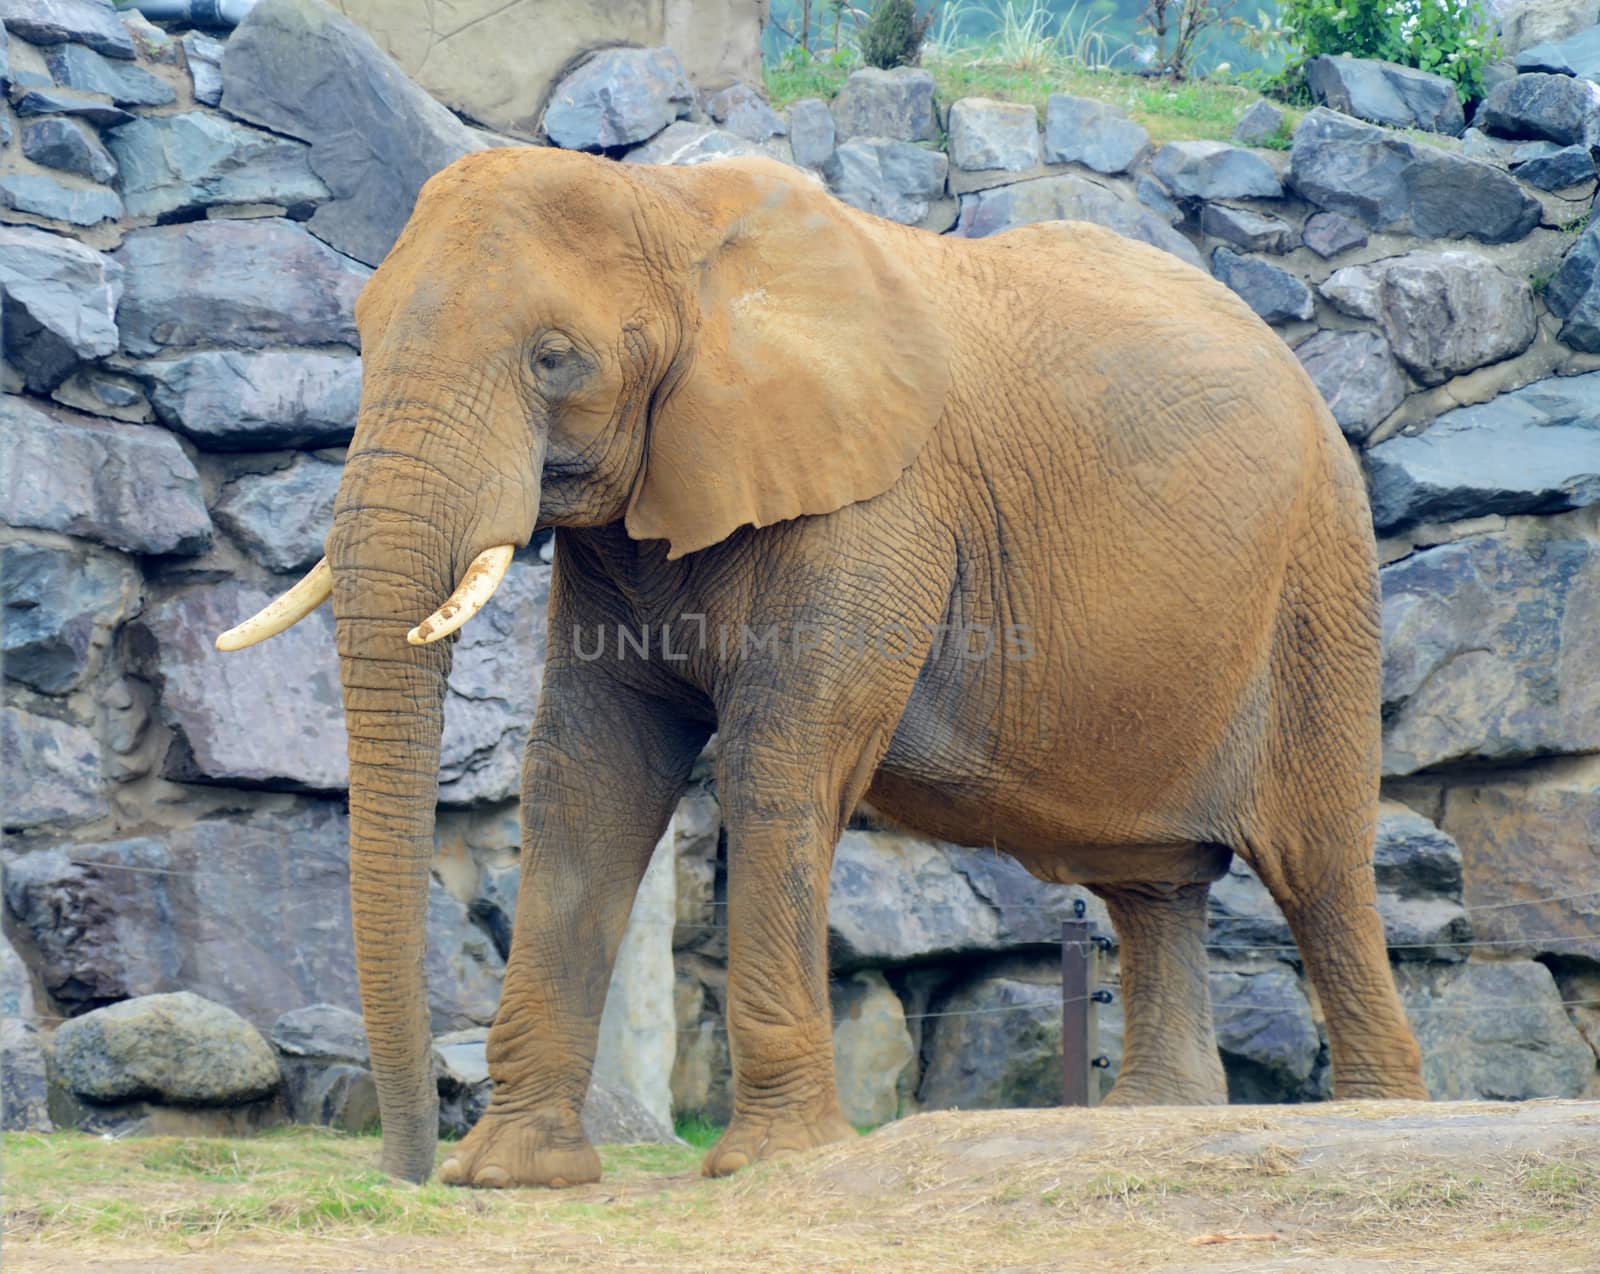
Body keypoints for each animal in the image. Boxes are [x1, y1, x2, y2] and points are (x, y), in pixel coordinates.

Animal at [212, 146, 1427, 1184]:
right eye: (360, 337)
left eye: (554, 360)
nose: (403, 1174)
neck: (671, 208)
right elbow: (584, 773)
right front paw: (511, 1176)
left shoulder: (876, 502)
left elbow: (779, 764)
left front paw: (769, 1161)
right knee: (1154, 881)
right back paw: (1151, 1122)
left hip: (1320, 576)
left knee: (1320, 867)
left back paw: (1381, 1115)